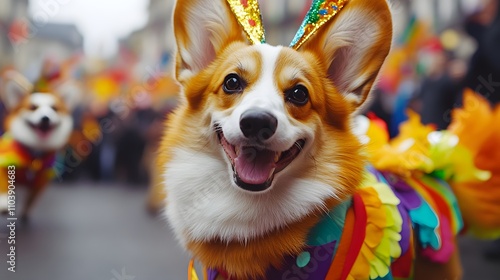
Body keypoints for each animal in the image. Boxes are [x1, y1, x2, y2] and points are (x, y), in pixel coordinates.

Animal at [0, 71, 79, 220]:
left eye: (55, 109)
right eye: (33, 108)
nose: (45, 118)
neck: (35, 153)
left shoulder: (41, 180)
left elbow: (32, 197)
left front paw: (26, 210)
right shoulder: (4, 164)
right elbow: (3, 185)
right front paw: (4, 202)